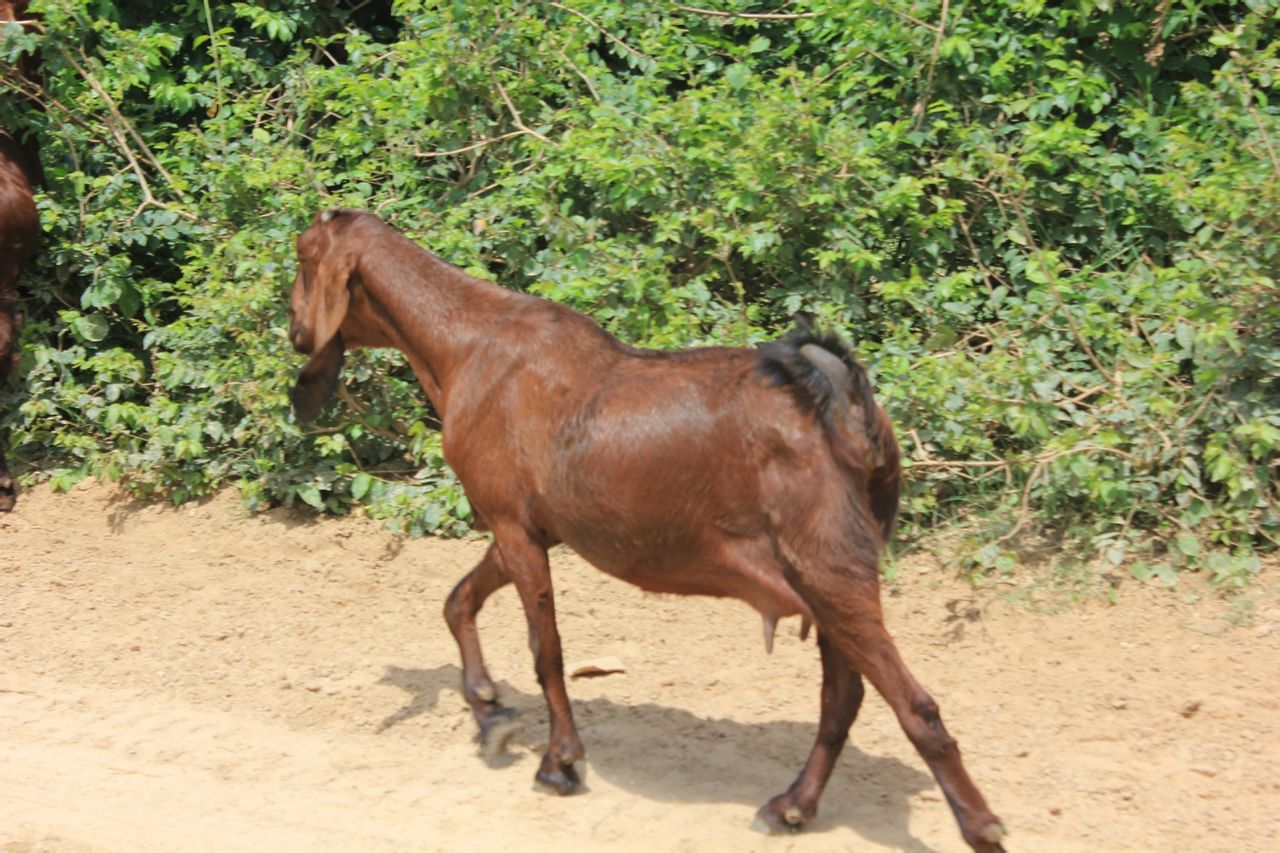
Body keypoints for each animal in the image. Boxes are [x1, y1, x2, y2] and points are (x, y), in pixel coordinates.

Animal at [290, 207, 1008, 850]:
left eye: (300, 259)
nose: (296, 330)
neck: (465, 344)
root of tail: (844, 397)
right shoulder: (524, 524)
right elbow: (457, 600)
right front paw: (490, 711)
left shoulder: (515, 529)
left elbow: (546, 650)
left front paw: (560, 760)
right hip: (824, 573)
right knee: (843, 694)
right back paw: (791, 806)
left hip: (830, 567)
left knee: (913, 706)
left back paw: (979, 826)